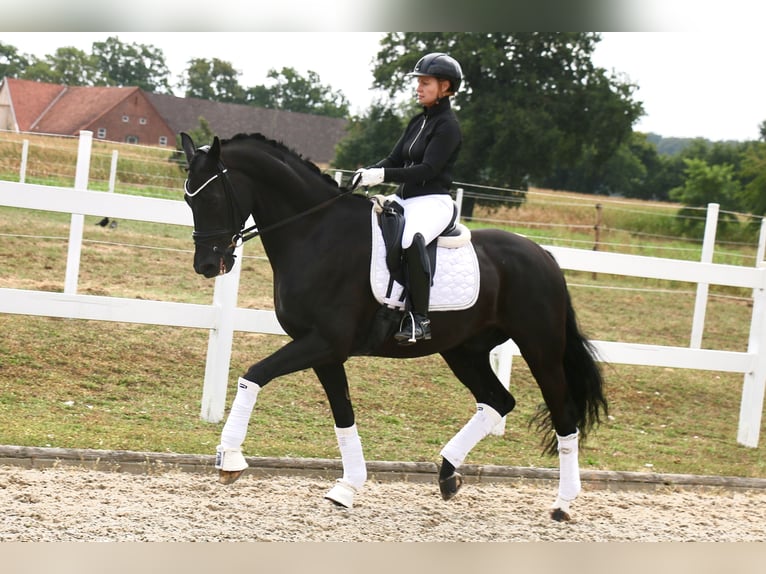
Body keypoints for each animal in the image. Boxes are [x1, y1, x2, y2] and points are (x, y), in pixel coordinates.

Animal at [180, 132, 607, 522]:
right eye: (188, 200)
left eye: (211, 198)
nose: (207, 265)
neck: (315, 231)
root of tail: (544, 255)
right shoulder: (323, 351)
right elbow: (343, 415)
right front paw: (347, 487)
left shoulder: (324, 342)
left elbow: (254, 375)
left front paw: (229, 458)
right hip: (464, 351)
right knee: (498, 401)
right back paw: (448, 475)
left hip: (540, 348)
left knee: (564, 414)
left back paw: (563, 503)